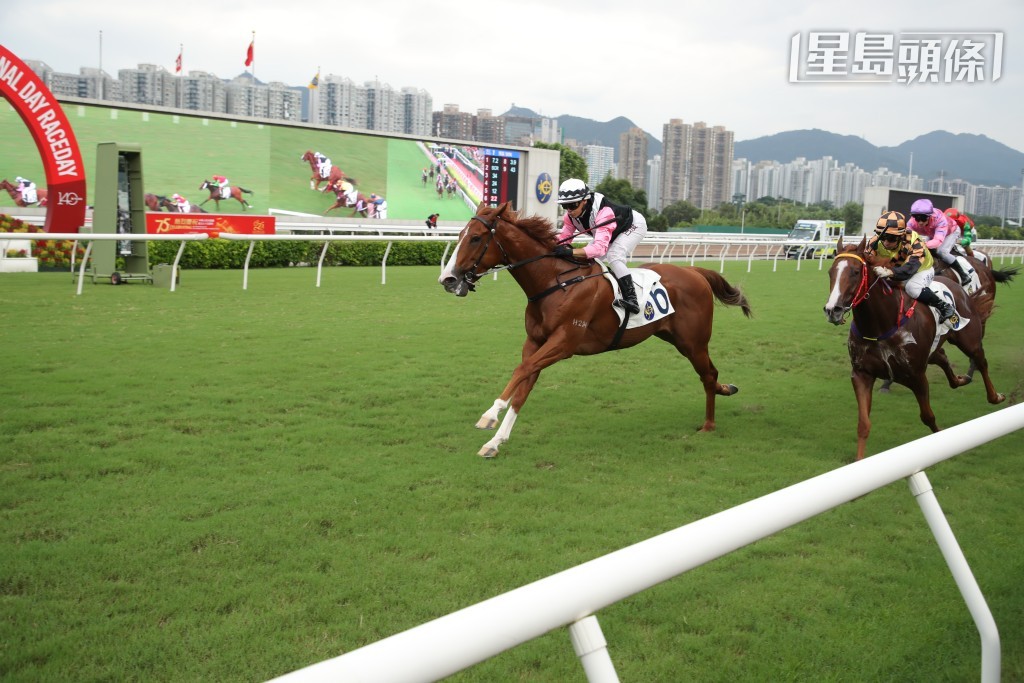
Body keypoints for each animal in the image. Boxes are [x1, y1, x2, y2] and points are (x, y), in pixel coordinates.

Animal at [438, 202, 753, 458]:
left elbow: (521, 370)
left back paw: (709, 424)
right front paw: (495, 442)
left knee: (708, 374)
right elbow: (524, 383)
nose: (448, 279)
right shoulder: (536, 342)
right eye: (459, 235)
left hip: (693, 341)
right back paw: (727, 389)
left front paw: (490, 415)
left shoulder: (563, 344)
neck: (554, 282)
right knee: (711, 374)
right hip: (676, 337)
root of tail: (694, 271)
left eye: (476, 238)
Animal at [819, 237, 1003, 462]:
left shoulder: (916, 376)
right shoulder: (861, 374)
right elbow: (863, 424)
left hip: (969, 339)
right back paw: (960, 379)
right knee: (942, 357)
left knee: (981, 361)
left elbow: (928, 416)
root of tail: (957, 286)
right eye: (831, 272)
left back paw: (994, 396)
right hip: (934, 349)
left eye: (855, 271)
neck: (880, 325)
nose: (832, 310)